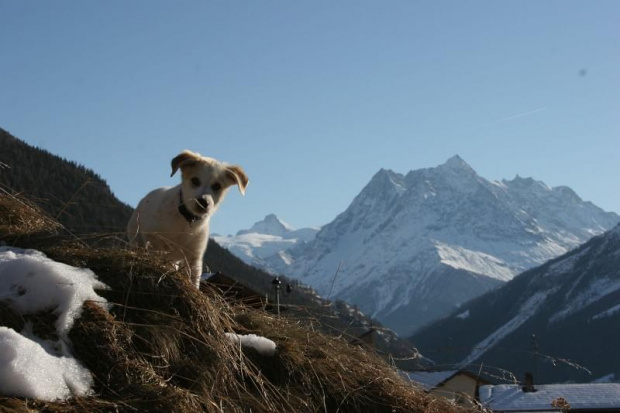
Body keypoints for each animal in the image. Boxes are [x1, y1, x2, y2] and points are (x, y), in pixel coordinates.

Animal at [127, 150, 248, 288]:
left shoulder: (195, 256)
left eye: (217, 186)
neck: (186, 221)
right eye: (195, 180)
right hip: (136, 239)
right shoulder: (154, 239)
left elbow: (194, 281)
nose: (203, 202)